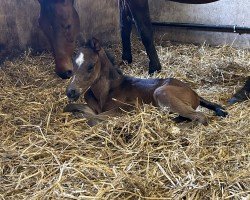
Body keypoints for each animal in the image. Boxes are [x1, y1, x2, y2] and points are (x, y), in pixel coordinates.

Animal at [63, 37, 228, 125]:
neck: (106, 92)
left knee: (200, 117)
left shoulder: (130, 107)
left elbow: (92, 119)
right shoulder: (93, 107)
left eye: (91, 66)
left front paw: (80, 116)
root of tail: (195, 93)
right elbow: (71, 107)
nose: (71, 91)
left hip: (161, 92)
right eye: (73, 65)